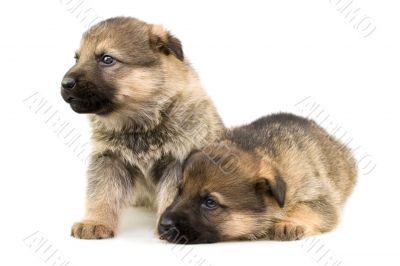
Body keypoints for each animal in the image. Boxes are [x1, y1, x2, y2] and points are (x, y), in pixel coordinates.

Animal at [59, 17, 223, 240]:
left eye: (107, 59)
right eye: (76, 58)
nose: (65, 83)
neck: (140, 123)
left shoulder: (178, 162)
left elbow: (171, 196)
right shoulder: (109, 159)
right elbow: (102, 193)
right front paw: (95, 222)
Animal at [158, 112, 358, 243]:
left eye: (210, 203)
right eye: (180, 191)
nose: (163, 225)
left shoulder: (321, 196)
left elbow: (308, 208)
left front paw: (289, 223)